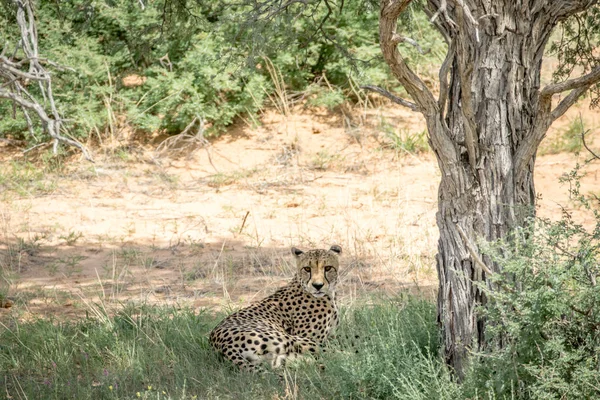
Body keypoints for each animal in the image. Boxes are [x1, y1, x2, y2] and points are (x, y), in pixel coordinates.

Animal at [210, 245, 342, 370]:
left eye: (328, 268)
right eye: (307, 269)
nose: (317, 286)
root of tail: (222, 346)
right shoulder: (313, 338)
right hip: (294, 340)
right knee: (328, 354)